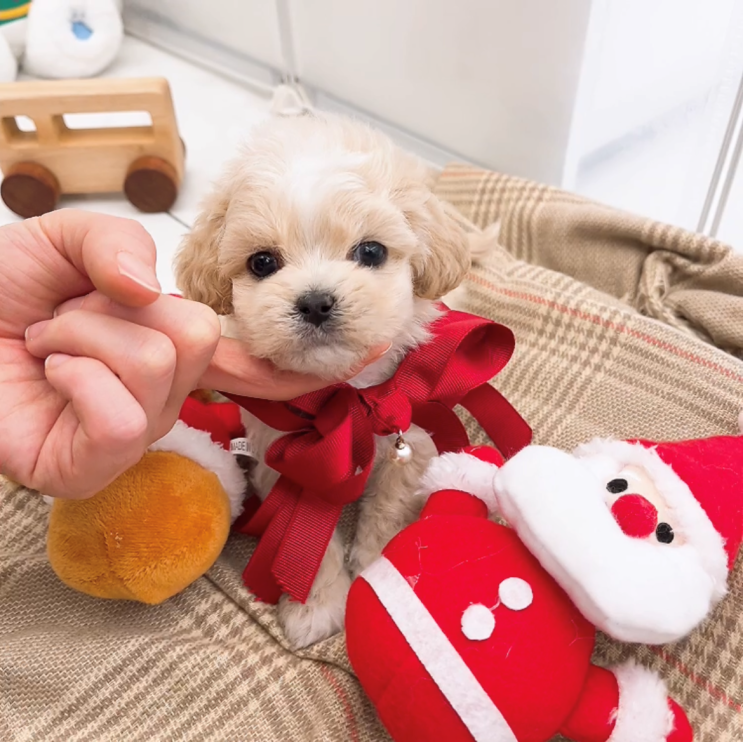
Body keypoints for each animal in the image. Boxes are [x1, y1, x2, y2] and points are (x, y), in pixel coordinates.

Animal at [178, 112, 482, 652]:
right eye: (262, 262)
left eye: (371, 251)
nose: (316, 302)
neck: (343, 398)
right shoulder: (283, 456)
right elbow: (306, 544)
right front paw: (315, 609)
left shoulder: (410, 431)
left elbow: (388, 509)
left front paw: (378, 570)